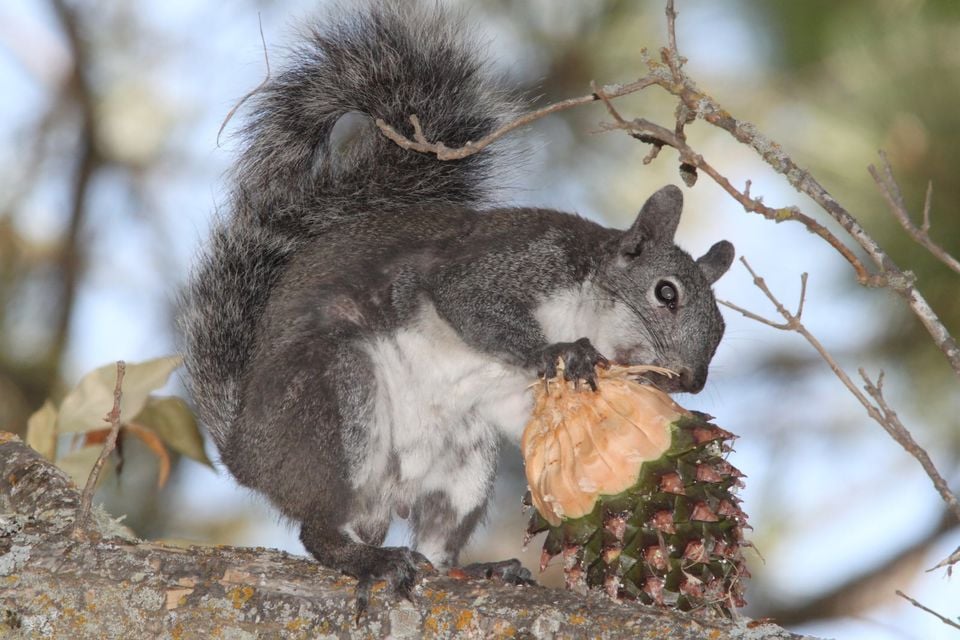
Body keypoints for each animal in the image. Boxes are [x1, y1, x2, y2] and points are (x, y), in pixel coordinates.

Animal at [179, 0, 735, 612]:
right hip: (335, 399)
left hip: (464, 458)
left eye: (722, 327)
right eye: (666, 293)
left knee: (437, 545)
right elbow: (468, 303)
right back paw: (367, 558)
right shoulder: (513, 262)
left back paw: (476, 570)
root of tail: (246, 455)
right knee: (321, 526)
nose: (692, 381)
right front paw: (564, 350)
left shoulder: (515, 400)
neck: (586, 303)